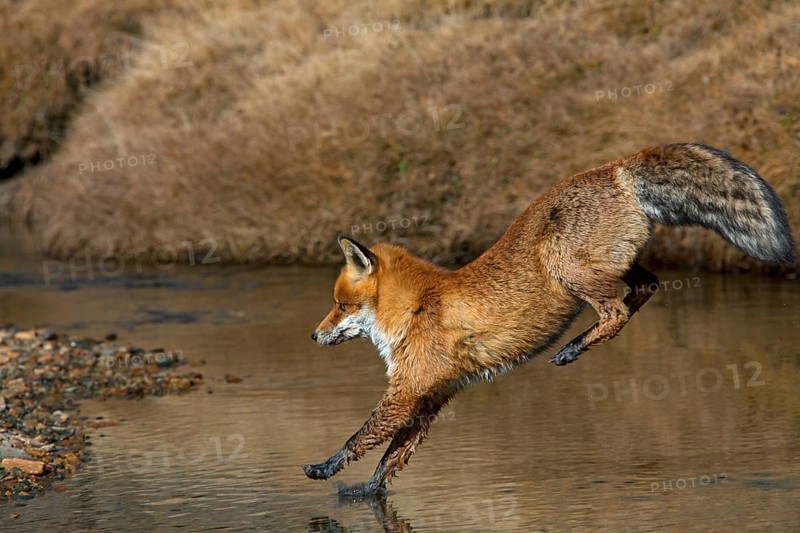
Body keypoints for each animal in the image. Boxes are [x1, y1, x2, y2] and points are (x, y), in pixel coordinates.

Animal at [304, 143, 795, 494]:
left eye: (341, 306)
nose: (313, 335)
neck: (416, 306)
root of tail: (615, 167)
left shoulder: (407, 391)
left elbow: (359, 437)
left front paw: (325, 468)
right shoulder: (431, 398)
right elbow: (390, 458)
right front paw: (366, 493)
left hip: (565, 267)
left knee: (617, 310)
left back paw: (571, 349)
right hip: (613, 265)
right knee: (648, 286)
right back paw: (578, 344)